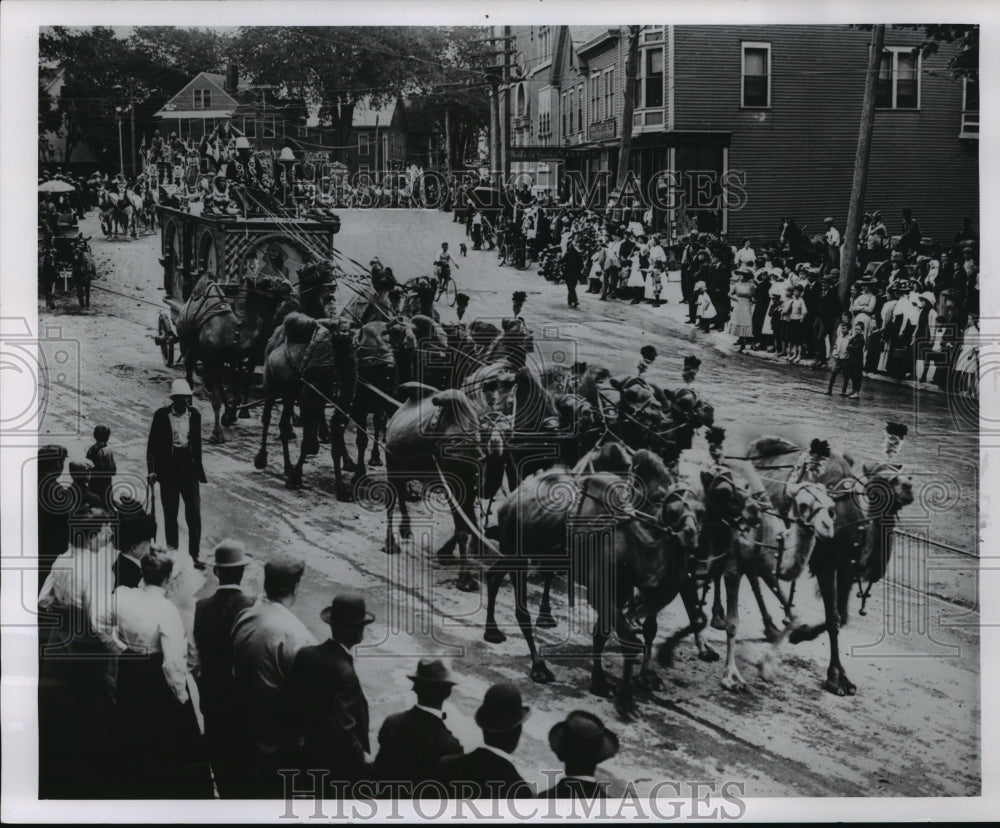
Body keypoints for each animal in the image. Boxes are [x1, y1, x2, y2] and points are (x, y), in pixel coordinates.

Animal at [254, 312, 360, 498]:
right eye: (335, 326)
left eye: (351, 326)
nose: (345, 333)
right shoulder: (309, 398)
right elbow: (306, 440)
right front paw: (295, 479)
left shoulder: (341, 405)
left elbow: (335, 444)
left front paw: (341, 488)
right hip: (270, 382)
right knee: (267, 417)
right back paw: (261, 458)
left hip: (289, 391)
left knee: (283, 423)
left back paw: (287, 467)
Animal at [382, 384, 508, 592]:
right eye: (489, 431)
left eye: (511, 436)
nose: (497, 442)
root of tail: (396, 414)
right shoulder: (453, 483)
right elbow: (463, 529)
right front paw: (465, 580)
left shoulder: (468, 486)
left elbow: (469, 522)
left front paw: (447, 555)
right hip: (391, 458)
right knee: (391, 497)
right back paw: (390, 545)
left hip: (409, 465)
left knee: (401, 489)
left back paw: (406, 530)